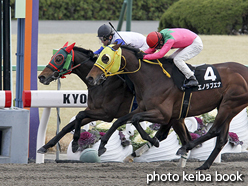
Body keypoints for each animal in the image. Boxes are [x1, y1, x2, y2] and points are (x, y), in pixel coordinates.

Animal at [37, 42, 191, 155]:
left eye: (59, 58)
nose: (41, 77)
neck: (102, 83)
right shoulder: (93, 110)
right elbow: (69, 125)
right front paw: (46, 146)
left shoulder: (106, 114)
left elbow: (80, 115)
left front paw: (76, 143)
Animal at [85, 43, 248, 170]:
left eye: (105, 58)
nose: (90, 78)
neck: (153, 78)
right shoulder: (143, 108)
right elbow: (120, 120)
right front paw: (102, 146)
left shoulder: (163, 114)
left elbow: (136, 120)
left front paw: (152, 140)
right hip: (226, 107)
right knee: (222, 139)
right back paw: (204, 165)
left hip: (229, 104)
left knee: (213, 131)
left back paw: (185, 148)